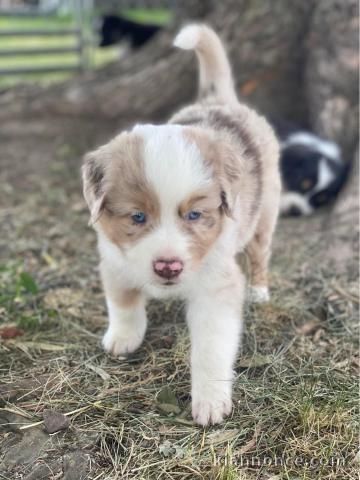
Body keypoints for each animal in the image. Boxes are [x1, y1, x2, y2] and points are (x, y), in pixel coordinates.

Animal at [81, 24, 282, 426]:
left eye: (194, 215)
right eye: (137, 217)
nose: (168, 266)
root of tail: (219, 101)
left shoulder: (217, 288)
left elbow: (211, 348)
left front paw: (210, 401)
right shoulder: (114, 259)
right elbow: (123, 302)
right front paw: (123, 337)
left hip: (264, 217)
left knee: (261, 255)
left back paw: (259, 291)